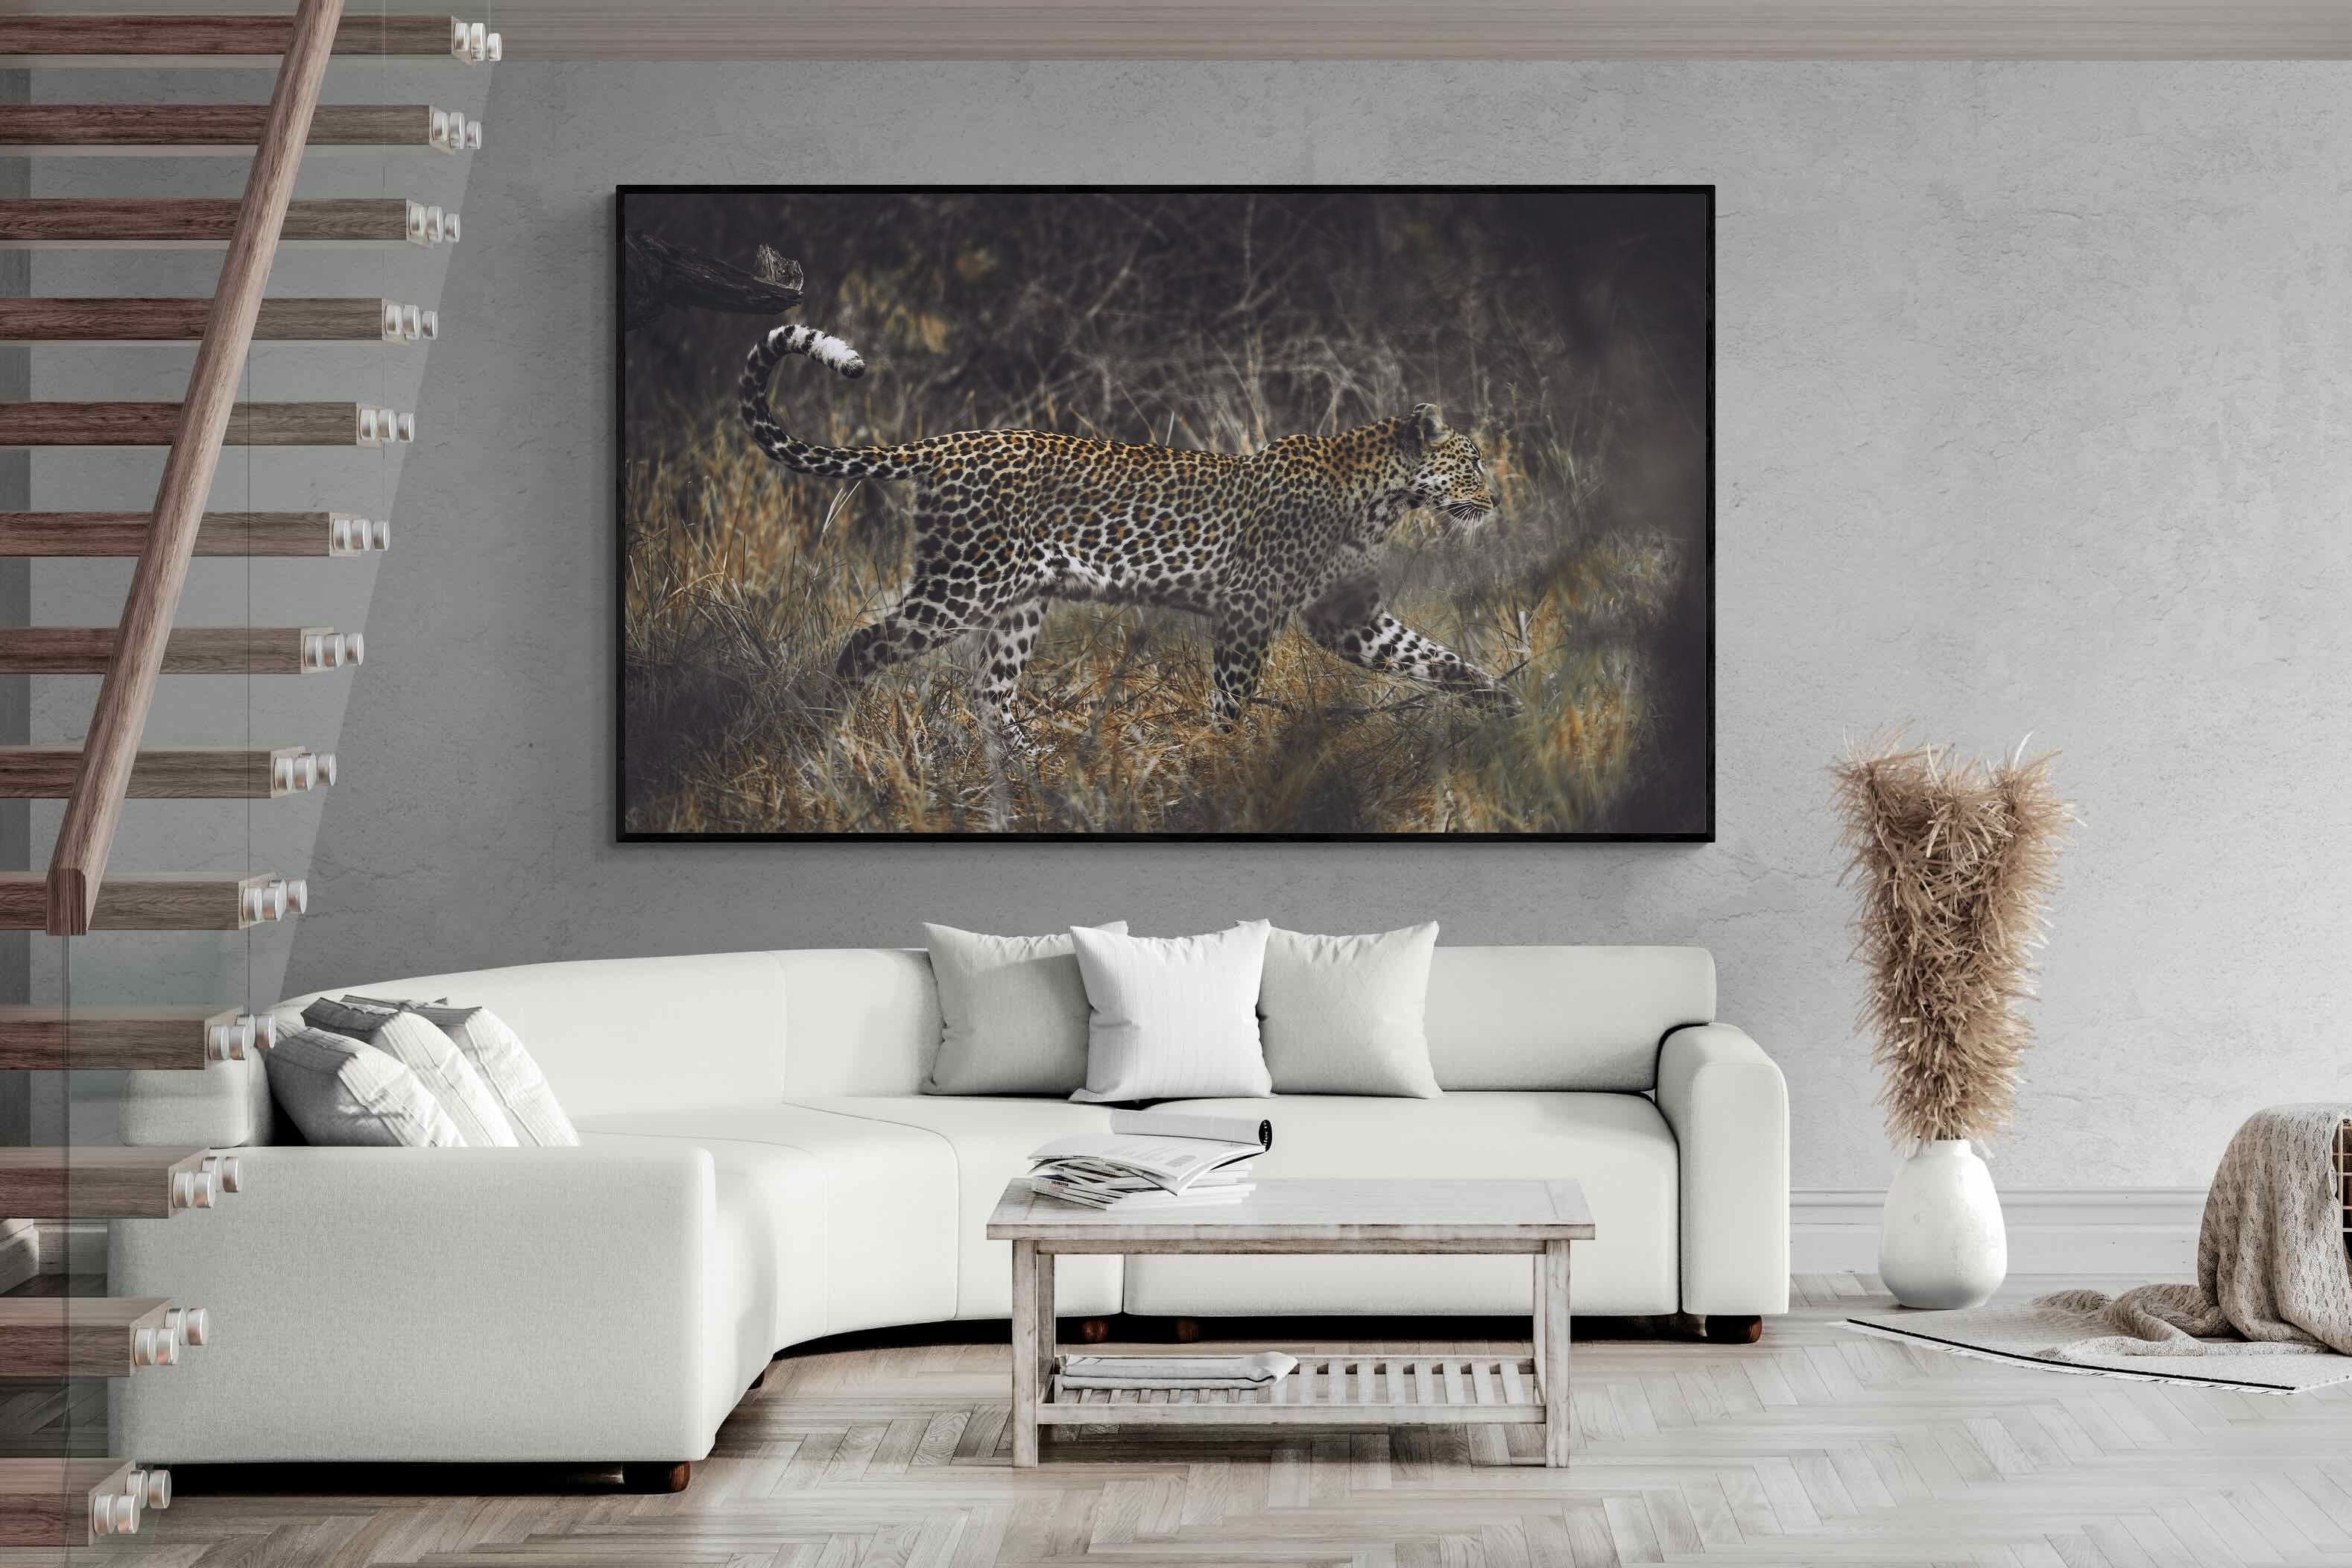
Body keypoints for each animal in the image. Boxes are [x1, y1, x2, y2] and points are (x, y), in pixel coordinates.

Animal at [739, 321, 1517, 753]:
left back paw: (1037, 769)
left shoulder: (1347, 618)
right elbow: (1231, 698)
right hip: (965, 583)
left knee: (990, 691)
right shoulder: (1249, 609)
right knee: (864, 646)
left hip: (1020, 598)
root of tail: (947, 443)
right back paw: (832, 737)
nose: (1497, 497)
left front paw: (1505, 704)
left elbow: (1434, 658)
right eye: (1473, 461)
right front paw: (1223, 764)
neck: (1382, 498)